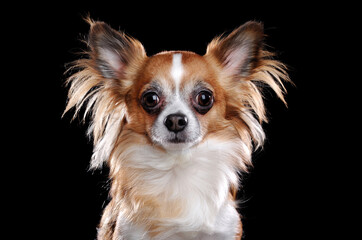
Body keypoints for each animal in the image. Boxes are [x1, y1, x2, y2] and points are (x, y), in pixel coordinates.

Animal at [63, 18, 290, 240]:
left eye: (204, 98)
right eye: (150, 99)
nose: (175, 120)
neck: (178, 166)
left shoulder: (225, 230)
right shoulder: (128, 231)